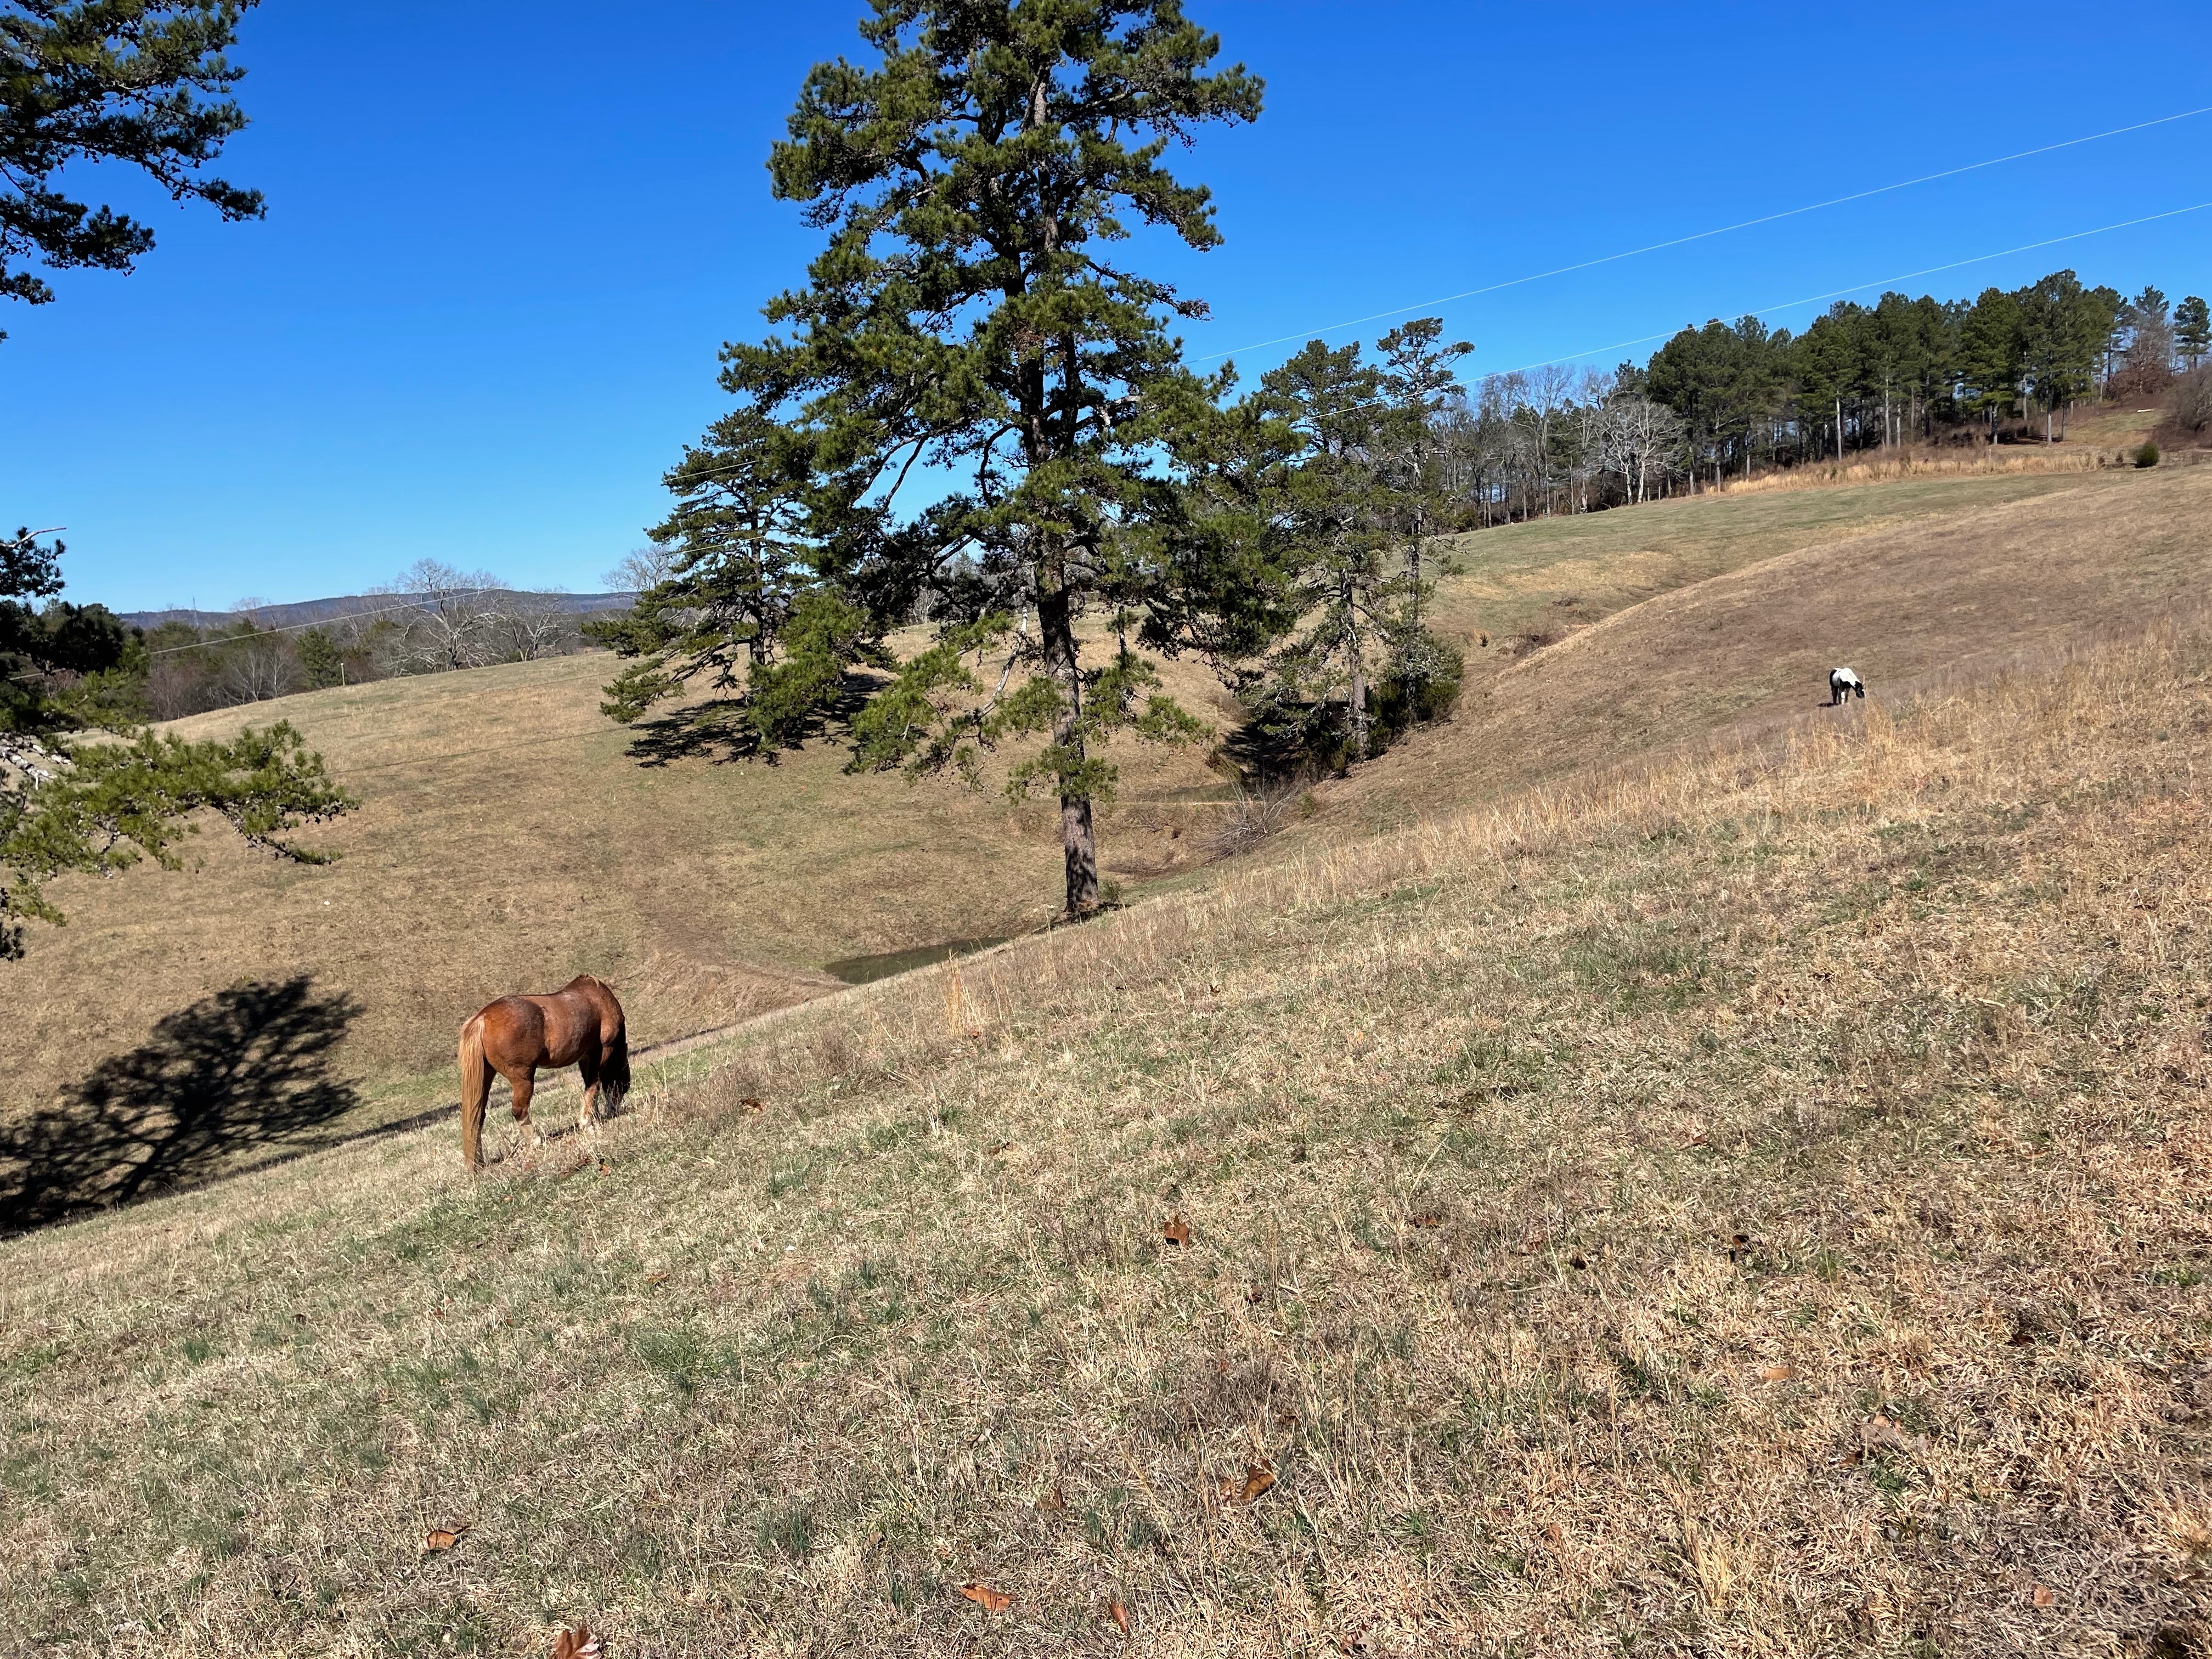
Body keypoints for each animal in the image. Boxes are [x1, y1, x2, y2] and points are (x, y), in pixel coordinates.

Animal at [455, 973, 633, 1167]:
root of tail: (482, 1018)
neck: (599, 999)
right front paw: (588, 1122)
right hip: (522, 1078)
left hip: (486, 1076)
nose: (614, 1110)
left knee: (477, 1117)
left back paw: (478, 1162)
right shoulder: (602, 1051)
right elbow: (594, 1086)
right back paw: (536, 1141)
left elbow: (590, 1086)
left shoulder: (585, 1058)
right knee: (519, 1110)